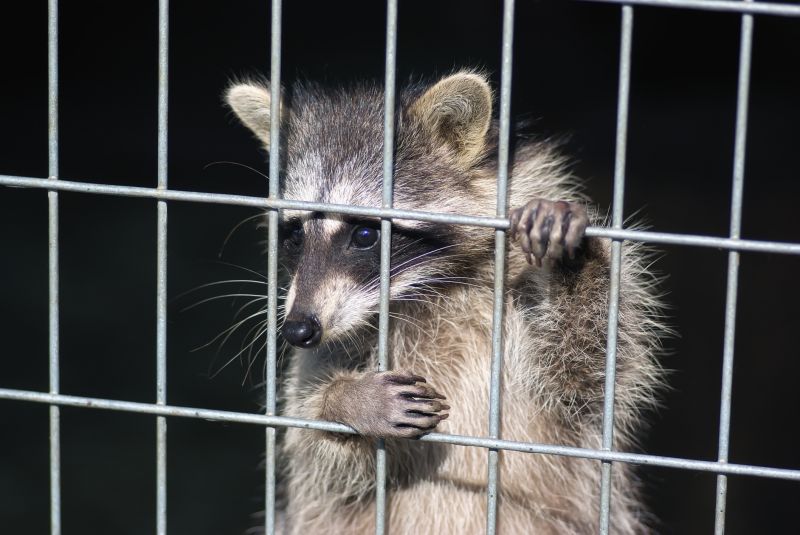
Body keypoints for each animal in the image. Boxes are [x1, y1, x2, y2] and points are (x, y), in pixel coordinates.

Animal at [225, 71, 666, 534]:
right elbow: (311, 446)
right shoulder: (330, 341)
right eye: (294, 236)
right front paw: (342, 400)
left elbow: (587, 370)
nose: (297, 330)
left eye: (364, 235)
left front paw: (573, 259)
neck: (424, 291)